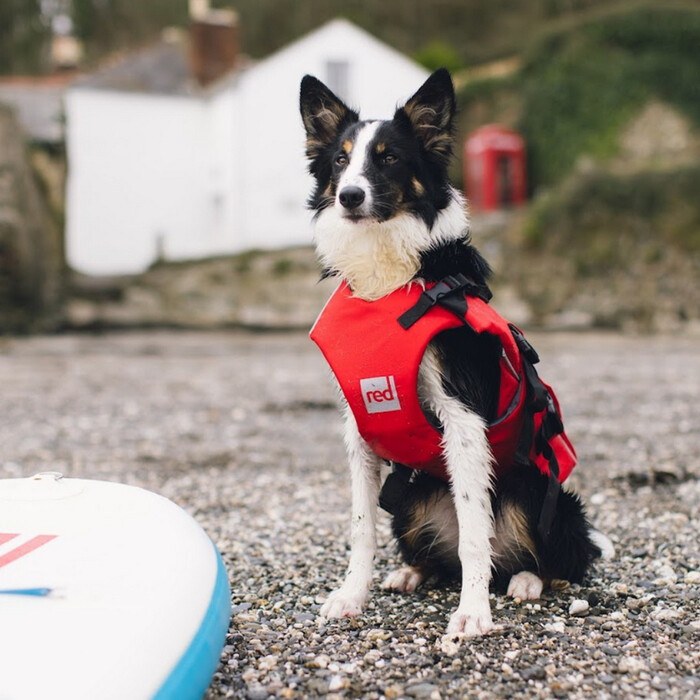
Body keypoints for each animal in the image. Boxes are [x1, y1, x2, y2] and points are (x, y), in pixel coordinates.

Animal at [300, 69, 612, 636]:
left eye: (389, 158)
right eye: (340, 161)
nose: (350, 197)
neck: (387, 280)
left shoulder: (463, 420)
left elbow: (473, 536)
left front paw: (472, 614)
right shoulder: (359, 429)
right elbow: (360, 528)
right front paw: (351, 596)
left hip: (540, 494)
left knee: (549, 559)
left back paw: (525, 580)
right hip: (409, 499)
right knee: (438, 554)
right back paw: (412, 571)